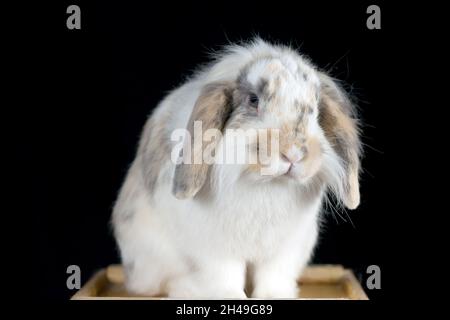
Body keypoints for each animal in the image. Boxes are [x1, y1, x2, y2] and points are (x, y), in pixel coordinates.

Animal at [112, 38, 362, 298]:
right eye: (253, 100)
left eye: (316, 107)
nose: (293, 153)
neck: (265, 184)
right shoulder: (215, 249)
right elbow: (225, 274)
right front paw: (229, 295)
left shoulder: (284, 249)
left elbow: (273, 275)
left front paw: (274, 295)